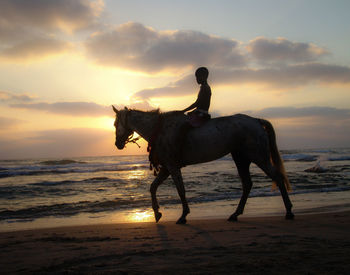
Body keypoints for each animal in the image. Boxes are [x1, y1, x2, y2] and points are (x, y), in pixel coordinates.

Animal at [112, 106, 292, 225]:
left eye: (115, 124)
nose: (117, 144)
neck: (159, 129)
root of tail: (255, 120)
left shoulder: (172, 166)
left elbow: (180, 190)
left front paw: (183, 216)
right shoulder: (167, 168)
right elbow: (153, 187)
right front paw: (157, 213)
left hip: (259, 157)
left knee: (277, 177)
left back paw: (289, 212)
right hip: (241, 158)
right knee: (247, 184)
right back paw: (235, 214)